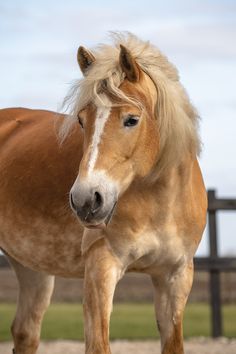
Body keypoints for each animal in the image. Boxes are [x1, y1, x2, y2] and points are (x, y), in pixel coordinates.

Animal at [0, 31, 206, 352]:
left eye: (132, 119)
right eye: (81, 120)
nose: (86, 200)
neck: (160, 203)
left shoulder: (176, 276)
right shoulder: (101, 267)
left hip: (31, 267)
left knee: (25, 332)